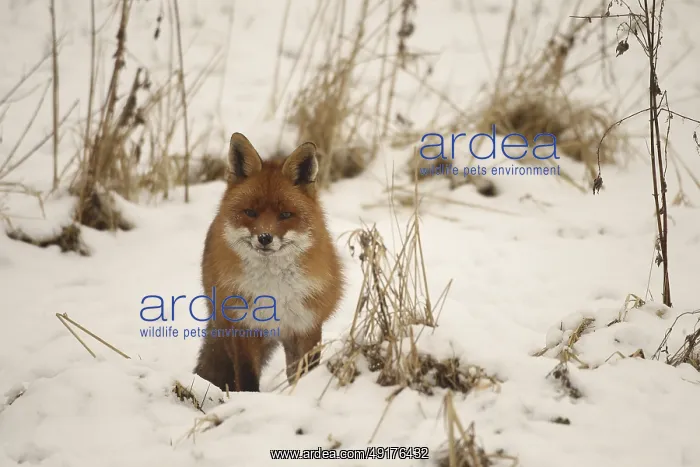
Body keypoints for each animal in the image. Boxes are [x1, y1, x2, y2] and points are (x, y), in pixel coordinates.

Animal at [193, 132, 345, 393]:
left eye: (285, 215)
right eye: (250, 213)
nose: (265, 238)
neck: (274, 290)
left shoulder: (306, 328)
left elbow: (303, 374)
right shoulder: (244, 327)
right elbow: (247, 378)